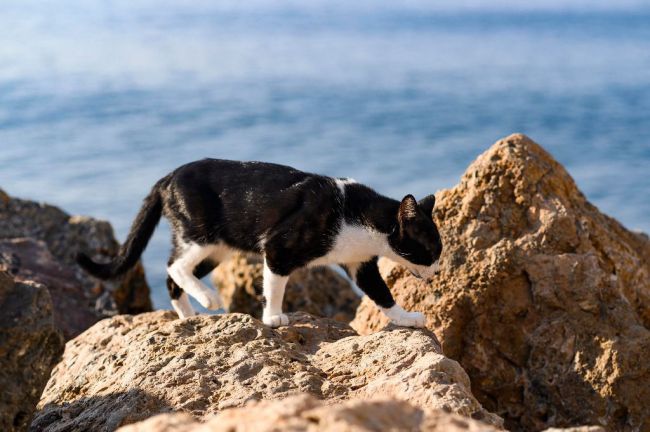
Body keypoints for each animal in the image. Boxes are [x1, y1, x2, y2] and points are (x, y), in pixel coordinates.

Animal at [76, 159, 440, 328]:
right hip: (201, 233)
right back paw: (208, 298)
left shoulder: (360, 263)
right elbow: (274, 286)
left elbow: (381, 293)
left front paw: (405, 318)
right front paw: (274, 317)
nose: (437, 272)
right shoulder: (279, 247)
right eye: (431, 251)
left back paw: (188, 317)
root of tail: (167, 178)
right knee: (175, 265)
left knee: (171, 275)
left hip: (219, 248)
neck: (357, 214)